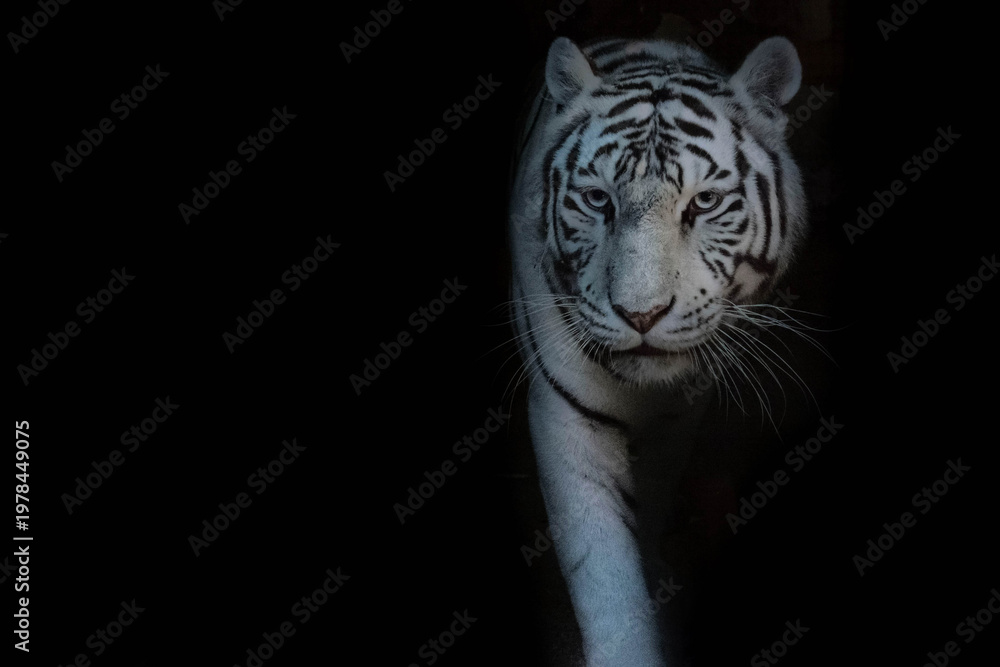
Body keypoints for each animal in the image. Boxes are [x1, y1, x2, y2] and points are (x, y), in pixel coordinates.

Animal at [507, 35, 806, 666]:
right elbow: (604, 574)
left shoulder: (681, 416)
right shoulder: (568, 415)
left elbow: (655, 494)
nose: (641, 315)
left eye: (705, 202)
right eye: (597, 200)